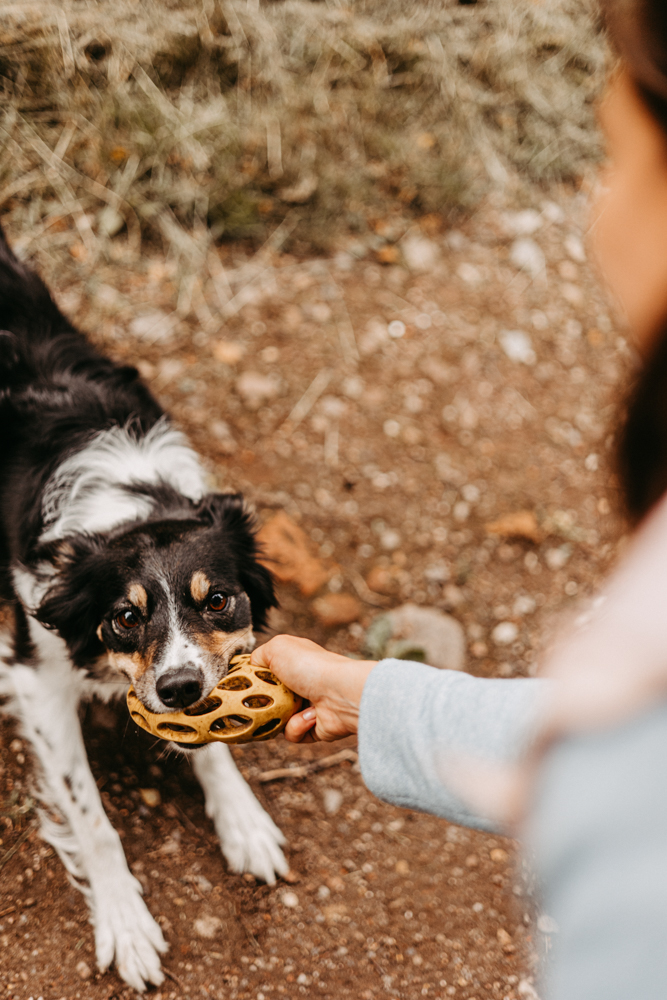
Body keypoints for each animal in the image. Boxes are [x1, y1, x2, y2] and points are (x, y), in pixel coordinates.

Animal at [0, 229, 290, 992]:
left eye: (217, 600)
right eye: (126, 617)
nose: (179, 689)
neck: (130, 505)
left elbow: (214, 740)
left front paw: (241, 819)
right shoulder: (36, 682)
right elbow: (91, 815)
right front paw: (124, 921)